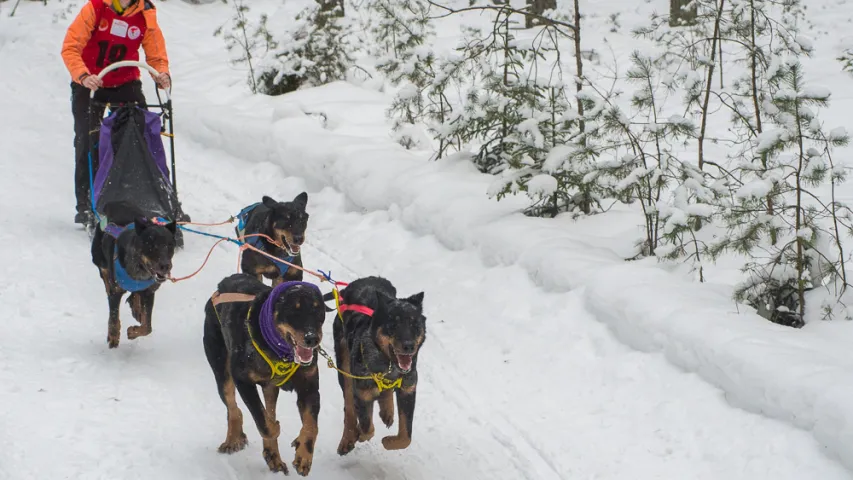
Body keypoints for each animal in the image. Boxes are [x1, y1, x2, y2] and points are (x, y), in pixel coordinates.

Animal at [90, 201, 177, 346]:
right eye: (151, 245)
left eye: (170, 245)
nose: (166, 266)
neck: (139, 268)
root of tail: (113, 203)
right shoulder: (117, 290)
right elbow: (113, 315)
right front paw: (113, 335)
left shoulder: (149, 292)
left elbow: (147, 327)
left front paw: (133, 331)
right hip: (98, 257)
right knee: (104, 273)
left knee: (135, 294)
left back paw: (136, 306)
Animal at [203, 274, 326, 476]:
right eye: (294, 310)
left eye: (318, 310)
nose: (312, 338)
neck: (281, 352)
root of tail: (222, 285)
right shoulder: (242, 380)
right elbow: (264, 422)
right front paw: (275, 430)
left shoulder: (309, 386)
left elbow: (311, 426)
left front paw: (303, 455)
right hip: (222, 369)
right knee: (233, 407)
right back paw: (234, 438)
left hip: (270, 387)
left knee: (268, 407)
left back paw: (273, 456)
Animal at [332, 276, 430, 456]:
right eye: (393, 324)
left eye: (414, 324)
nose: (409, 346)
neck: (389, 366)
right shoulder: (362, 394)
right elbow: (367, 428)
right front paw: (358, 434)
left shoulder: (408, 389)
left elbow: (406, 437)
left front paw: (389, 441)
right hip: (344, 367)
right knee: (349, 407)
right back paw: (348, 437)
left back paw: (387, 410)